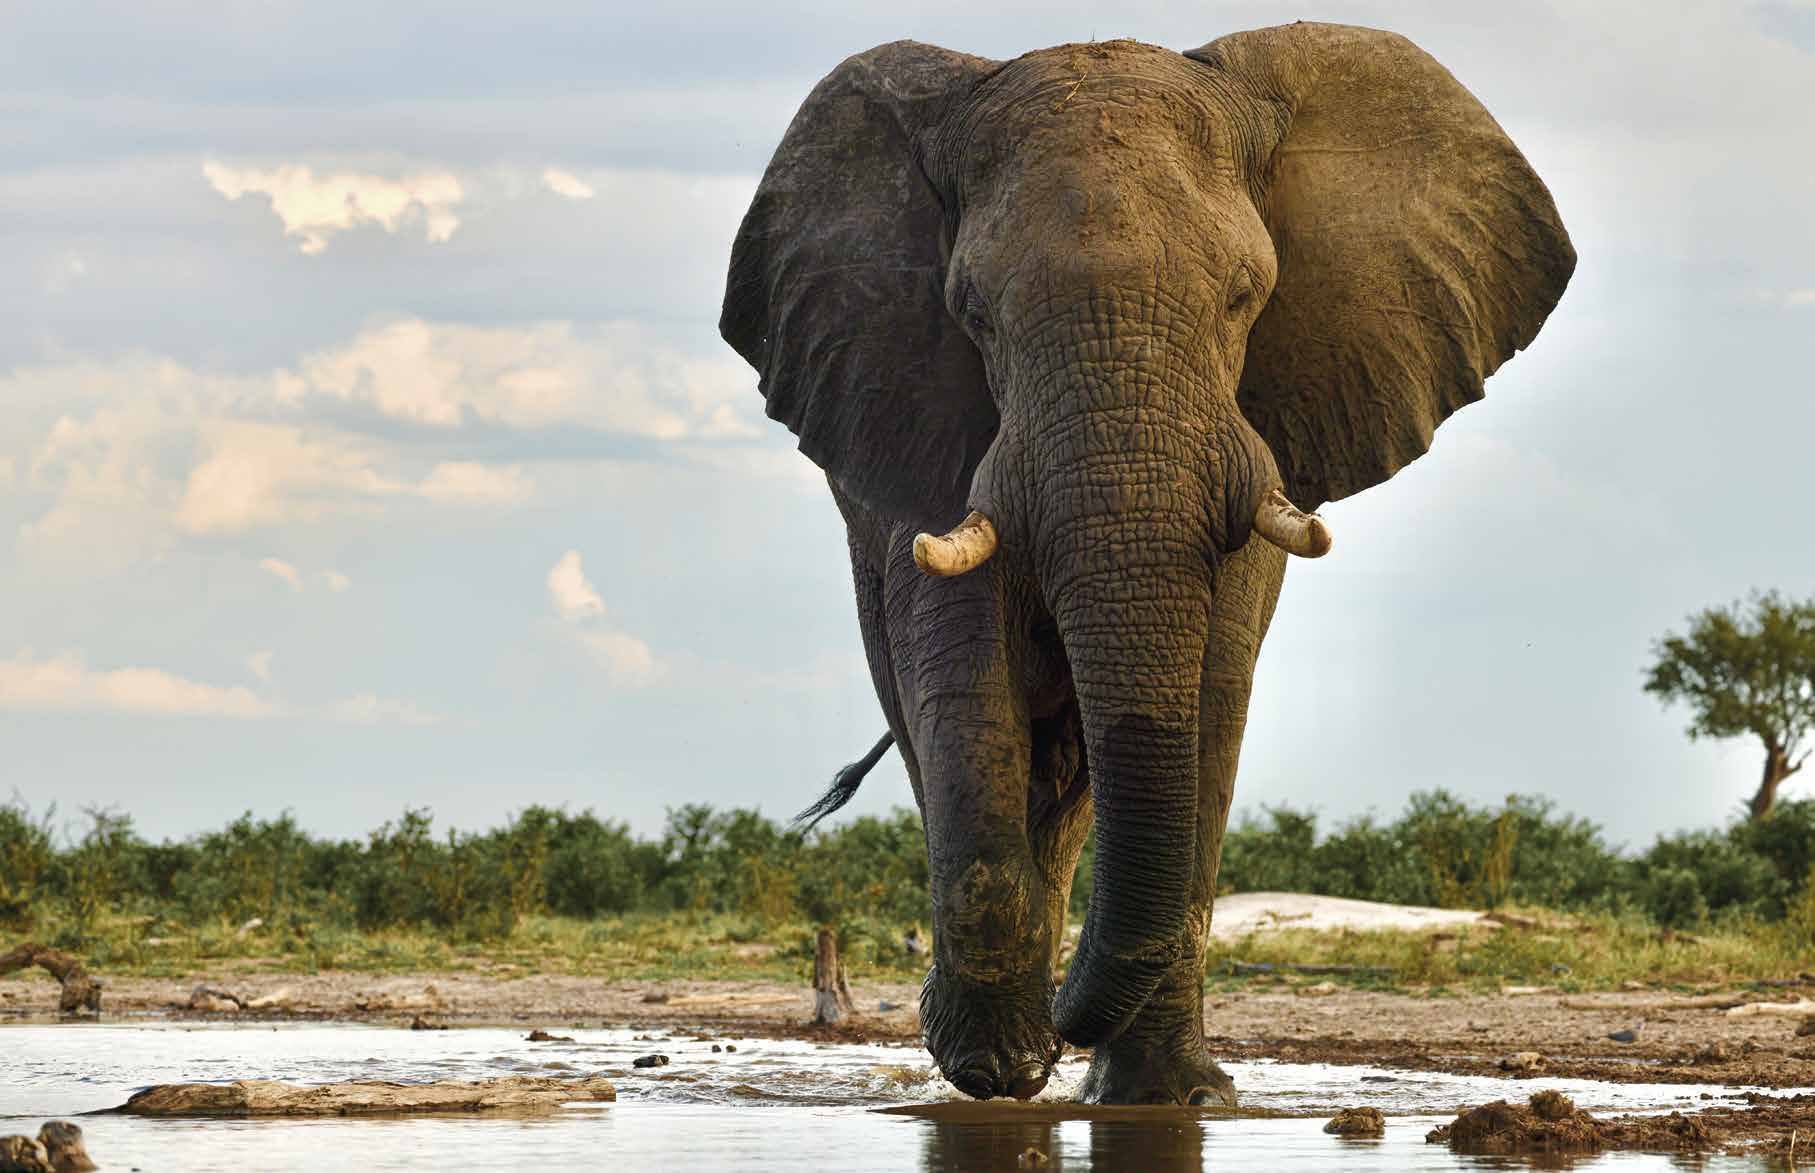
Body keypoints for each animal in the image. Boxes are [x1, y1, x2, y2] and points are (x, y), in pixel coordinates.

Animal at [720, 23, 1573, 1105]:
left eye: (1246, 298)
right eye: (973, 312)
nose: (1060, 1022)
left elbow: (1207, 695)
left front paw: (1171, 1099)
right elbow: (960, 681)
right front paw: (994, 1065)